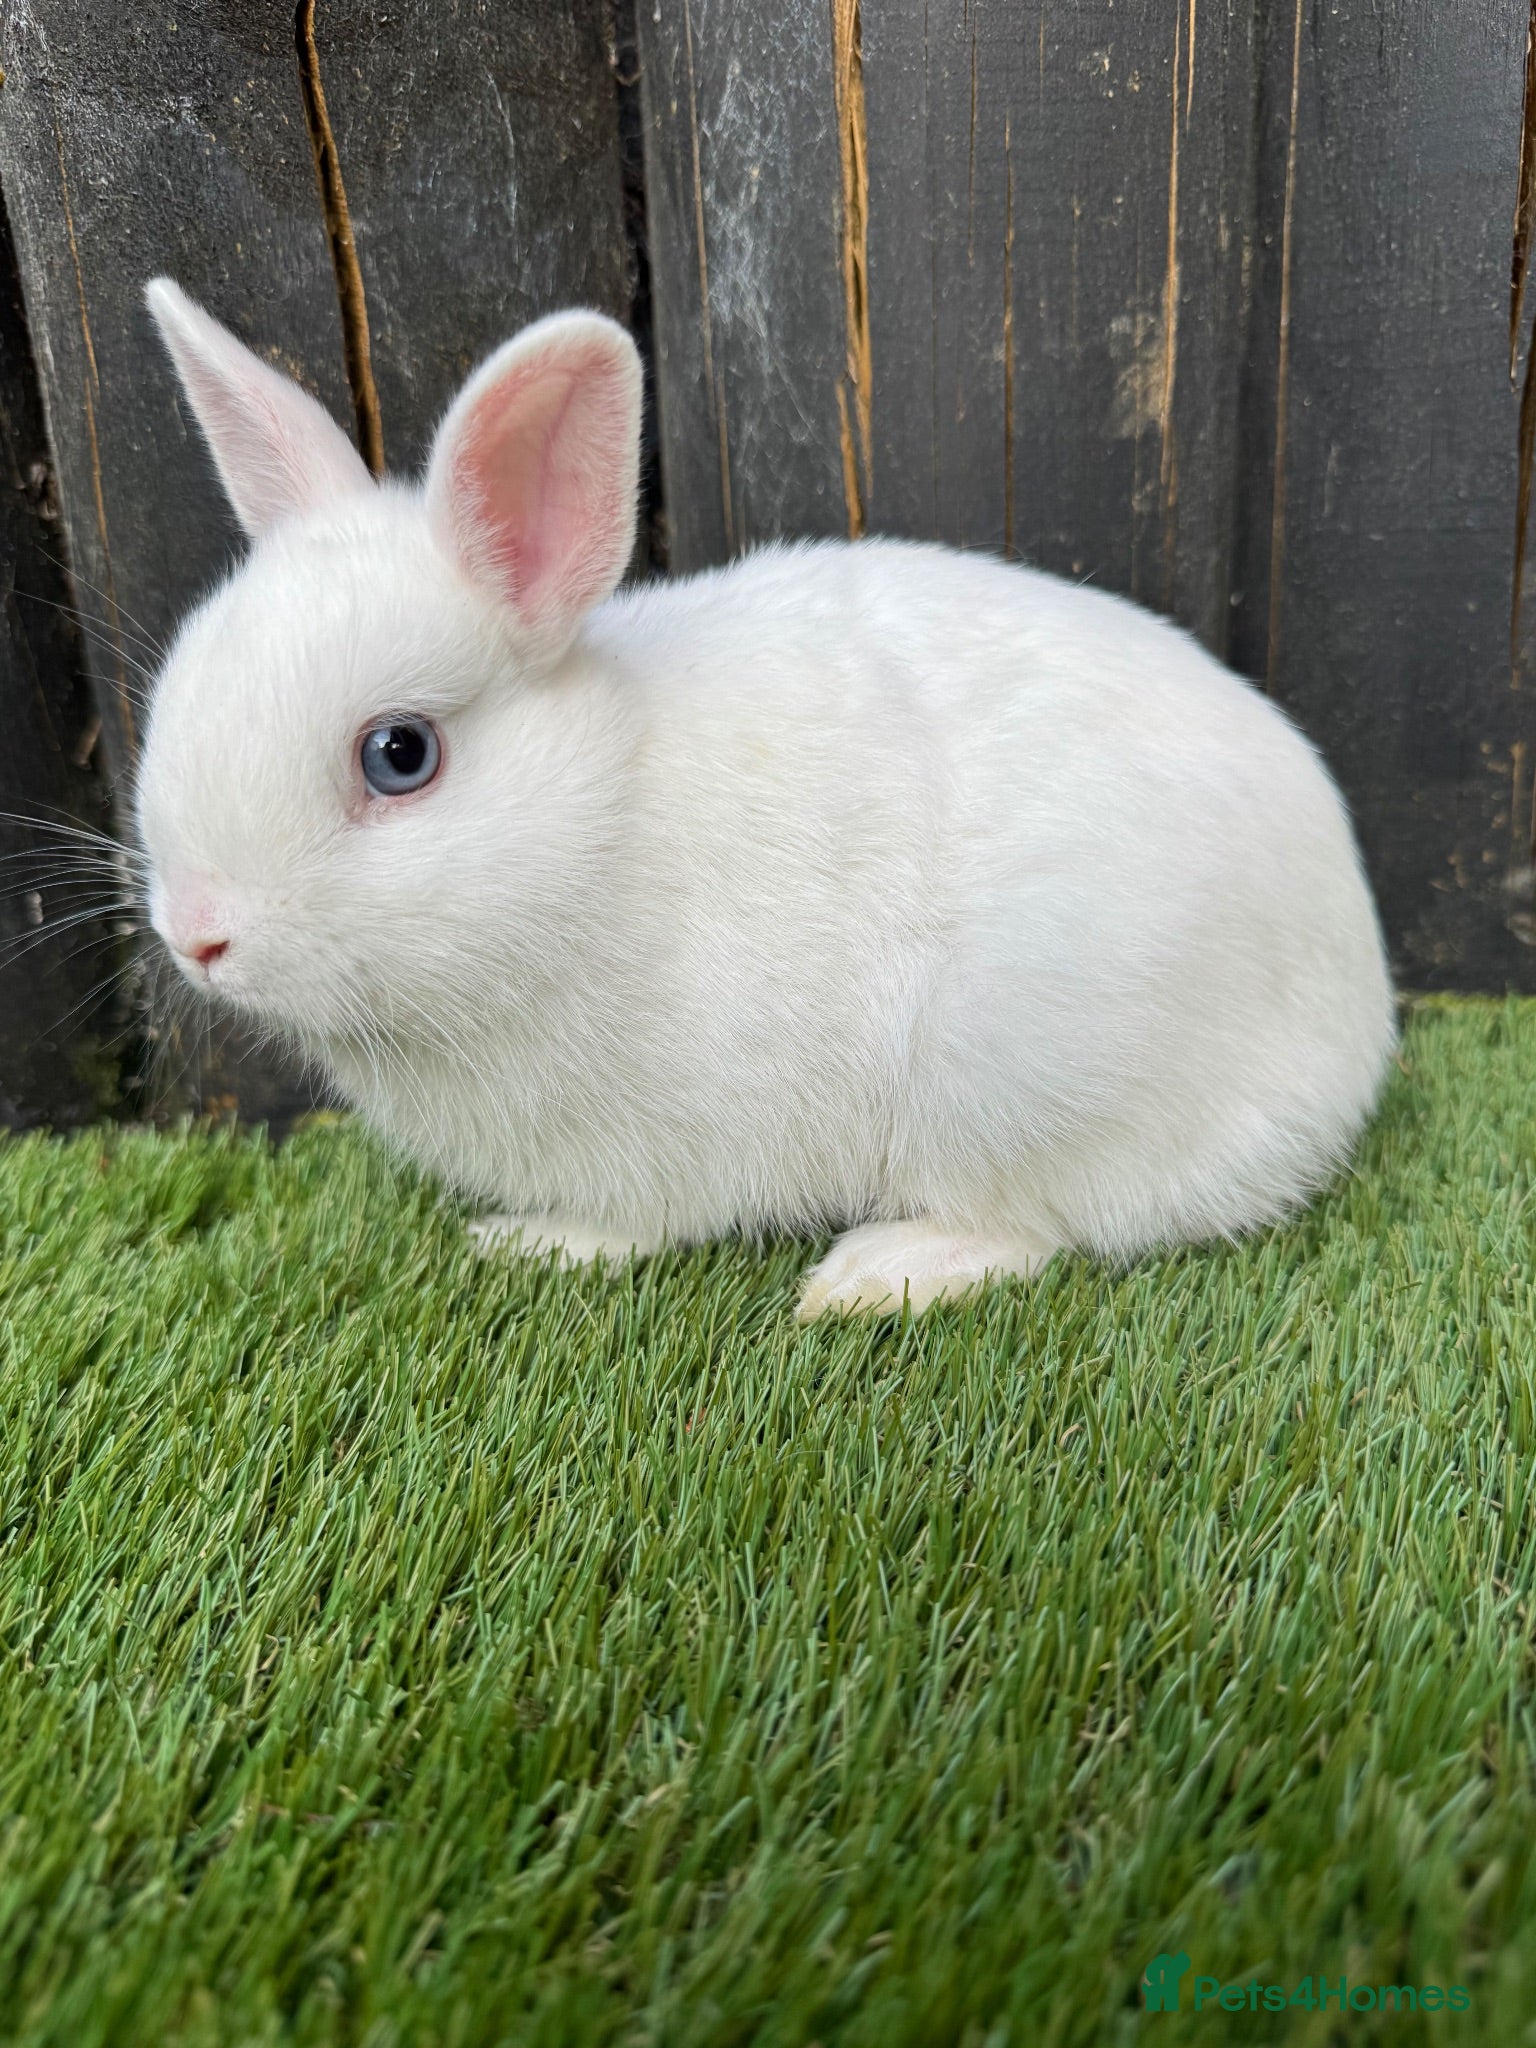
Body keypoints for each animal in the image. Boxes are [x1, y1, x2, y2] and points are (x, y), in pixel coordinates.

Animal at [135, 278, 1397, 1319]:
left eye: (399, 754)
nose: (197, 934)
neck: (598, 823)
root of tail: (1360, 1027)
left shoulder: (659, 1141)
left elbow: (628, 1225)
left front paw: (525, 1242)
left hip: (1018, 1093)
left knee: (1039, 1228)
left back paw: (875, 1273)